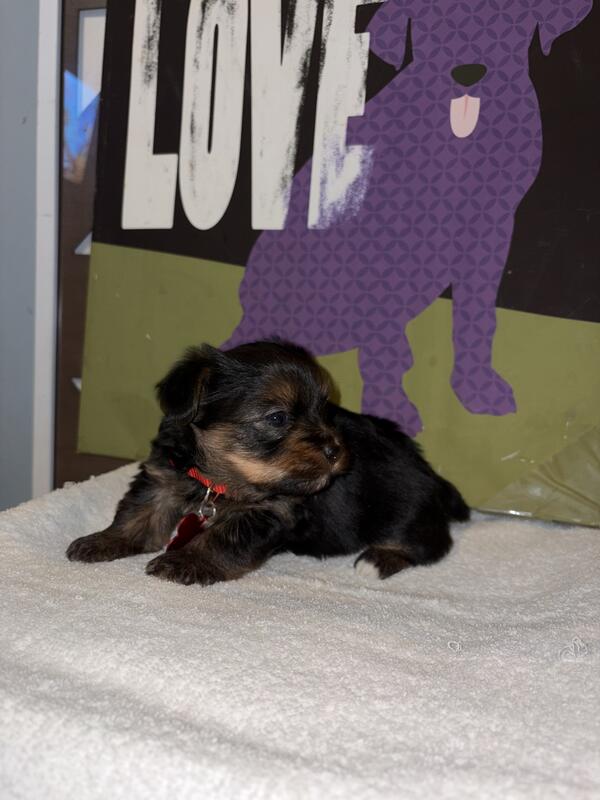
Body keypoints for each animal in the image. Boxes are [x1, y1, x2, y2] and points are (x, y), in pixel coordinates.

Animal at [67, 341, 469, 585]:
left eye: (324, 410)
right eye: (278, 418)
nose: (335, 450)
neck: (218, 479)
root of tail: (434, 478)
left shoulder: (270, 512)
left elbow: (220, 537)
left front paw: (183, 561)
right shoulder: (164, 477)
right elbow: (138, 515)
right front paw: (102, 541)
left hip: (404, 511)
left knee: (430, 544)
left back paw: (378, 559)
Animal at [224, 0, 592, 435]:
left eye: (510, 18)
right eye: (429, 24)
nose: (467, 73)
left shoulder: (492, 231)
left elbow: (477, 321)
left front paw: (476, 388)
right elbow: (382, 349)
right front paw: (392, 407)